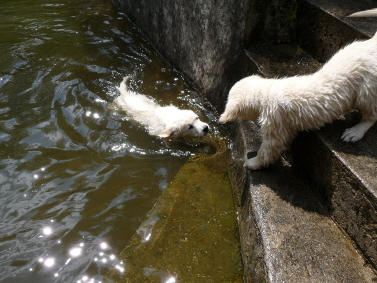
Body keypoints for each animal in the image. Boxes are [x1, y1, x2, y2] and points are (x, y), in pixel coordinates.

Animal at [217, 33, 376, 171]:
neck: (267, 92)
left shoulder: (274, 119)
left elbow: (272, 145)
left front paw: (252, 162)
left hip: (368, 82)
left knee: (369, 107)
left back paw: (354, 132)